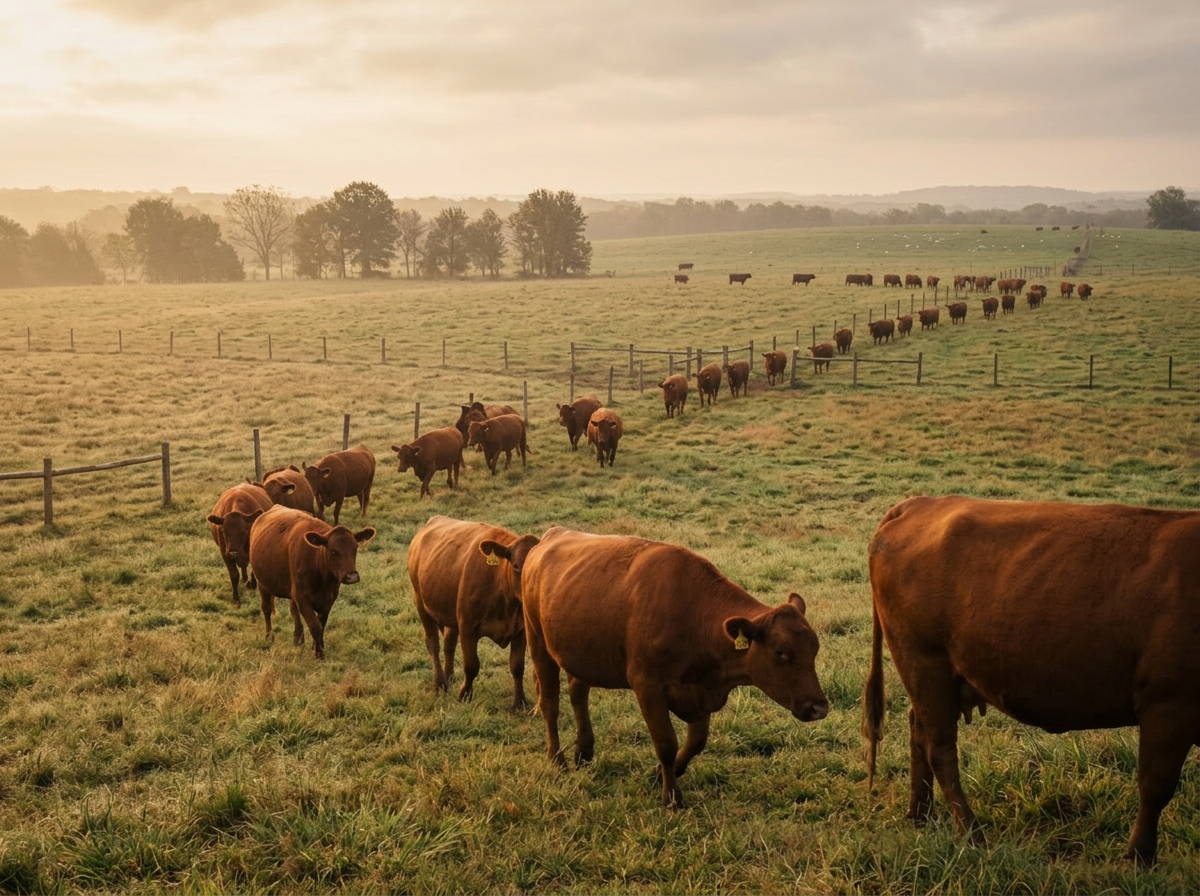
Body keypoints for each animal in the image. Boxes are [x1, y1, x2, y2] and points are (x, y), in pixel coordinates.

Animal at [249, 505, 375, 660]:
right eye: (333, 551)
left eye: (355, 548)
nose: (352, 576)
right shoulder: (302, 597)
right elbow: (315, 626)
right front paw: (319, 653)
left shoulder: (329, 599)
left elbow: (321, 624)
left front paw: (316, 646)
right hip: (263, 584)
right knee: (266, 609)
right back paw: (269, 637)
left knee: (293, 609)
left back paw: (298, 638)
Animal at [407, 515, 540, 709]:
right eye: (516, 566)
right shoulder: (467, 626)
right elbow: (471, 665)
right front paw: (464, 695)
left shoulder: (520, 630)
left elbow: (517, 667)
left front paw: (519, 702)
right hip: (421, 604)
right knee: (433, 644)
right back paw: (440, 683)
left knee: (448, 644)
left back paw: (449, 677)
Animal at [500, 526, 828, 808]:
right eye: (781, 652)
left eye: (814, 649)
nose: (819, 708)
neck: (694, 615)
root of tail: (551, 537)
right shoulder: (649, 687)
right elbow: (666, 743)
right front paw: (671, 796)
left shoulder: (700, 690)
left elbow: (696, 742)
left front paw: (661, 774)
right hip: (538, 642)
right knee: (550, 704)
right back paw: (558, 759)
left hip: (579, 653)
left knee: (578, 694)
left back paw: (584, 751)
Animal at [862, 496, 1199, 865]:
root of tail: (919, 503)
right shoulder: (1169, 705)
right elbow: (1155, 786)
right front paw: (1139, 857)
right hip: (925, 663)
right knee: (940, 748)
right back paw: (971, 832)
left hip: (934, 678)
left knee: (918, 731)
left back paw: (920, 814)